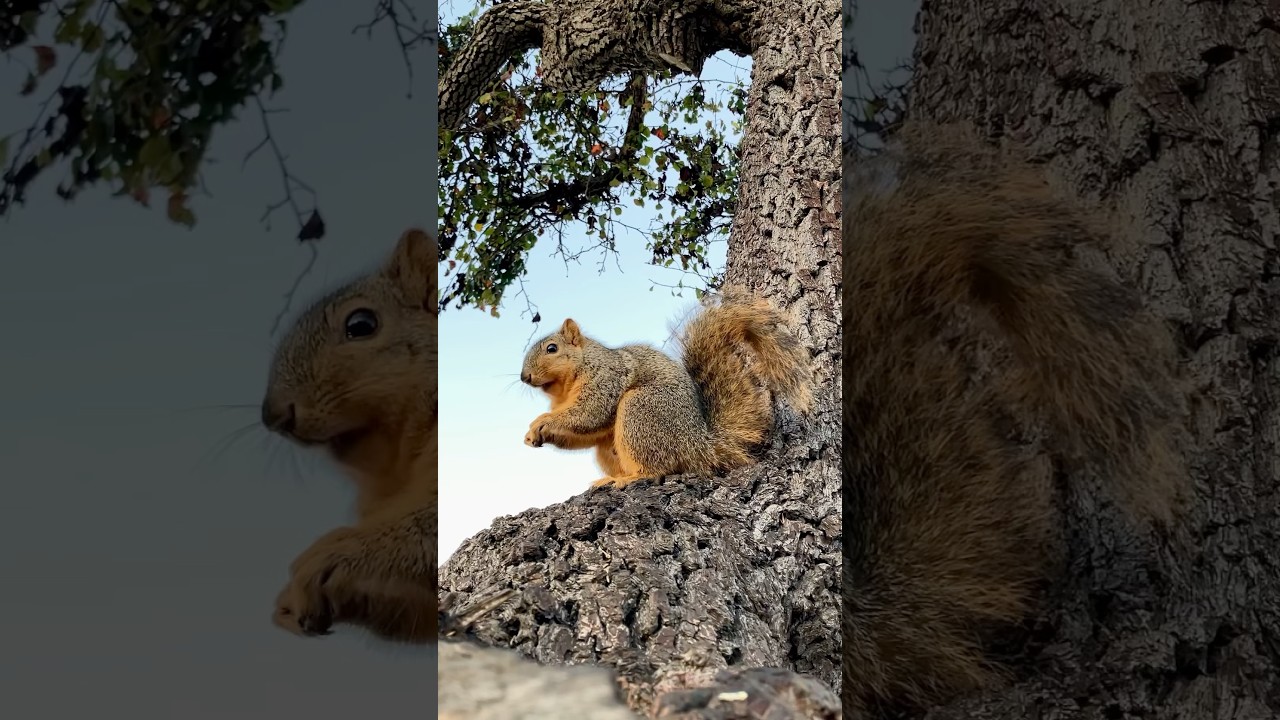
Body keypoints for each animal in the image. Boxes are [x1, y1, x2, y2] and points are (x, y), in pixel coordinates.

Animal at [520, 289, 814, 489]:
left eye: (552, 349)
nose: (524, 377)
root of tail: (698, 445)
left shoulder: (605, 379)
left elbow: (588, 414)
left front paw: (542, 421)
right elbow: (583, 434)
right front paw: (533, 435)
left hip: (640, 410)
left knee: (658, 468)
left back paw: (628, 478)